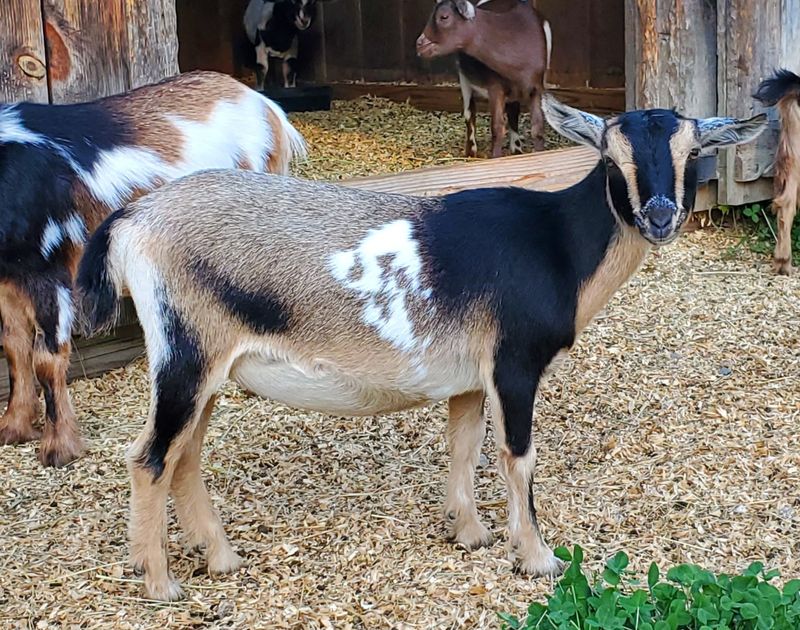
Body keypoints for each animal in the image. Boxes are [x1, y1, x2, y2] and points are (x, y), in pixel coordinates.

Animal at [0, 70, 306, 468]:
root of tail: (265, 106)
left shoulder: (50, 270)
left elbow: (46, 359)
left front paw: (58, 449)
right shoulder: (7, 280)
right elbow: (14, 347)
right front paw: (13, 428)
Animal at [77, 95, 765, 601]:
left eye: (691, 151)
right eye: (611, 156)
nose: (660, 216)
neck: (557, 245)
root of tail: (133, 222)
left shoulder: (469, 377)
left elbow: (463, 447)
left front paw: (471, 535)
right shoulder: (514, 364)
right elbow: (518, 458)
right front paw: (537, 559)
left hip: (207, 366)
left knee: (184, 455)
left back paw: (220, 558)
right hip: (186, 352)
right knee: (149, 458)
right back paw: (161, 585)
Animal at [416, 0, 552, 158]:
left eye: (444, 16)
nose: (419, 44)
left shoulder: (537, 87)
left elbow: (538, 129)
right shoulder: (495, 88)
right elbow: (497, 128)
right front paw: (495, 158)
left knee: (513, 111)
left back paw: (516, 148)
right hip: (464, 77)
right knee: (469, 111)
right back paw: (471, 150)